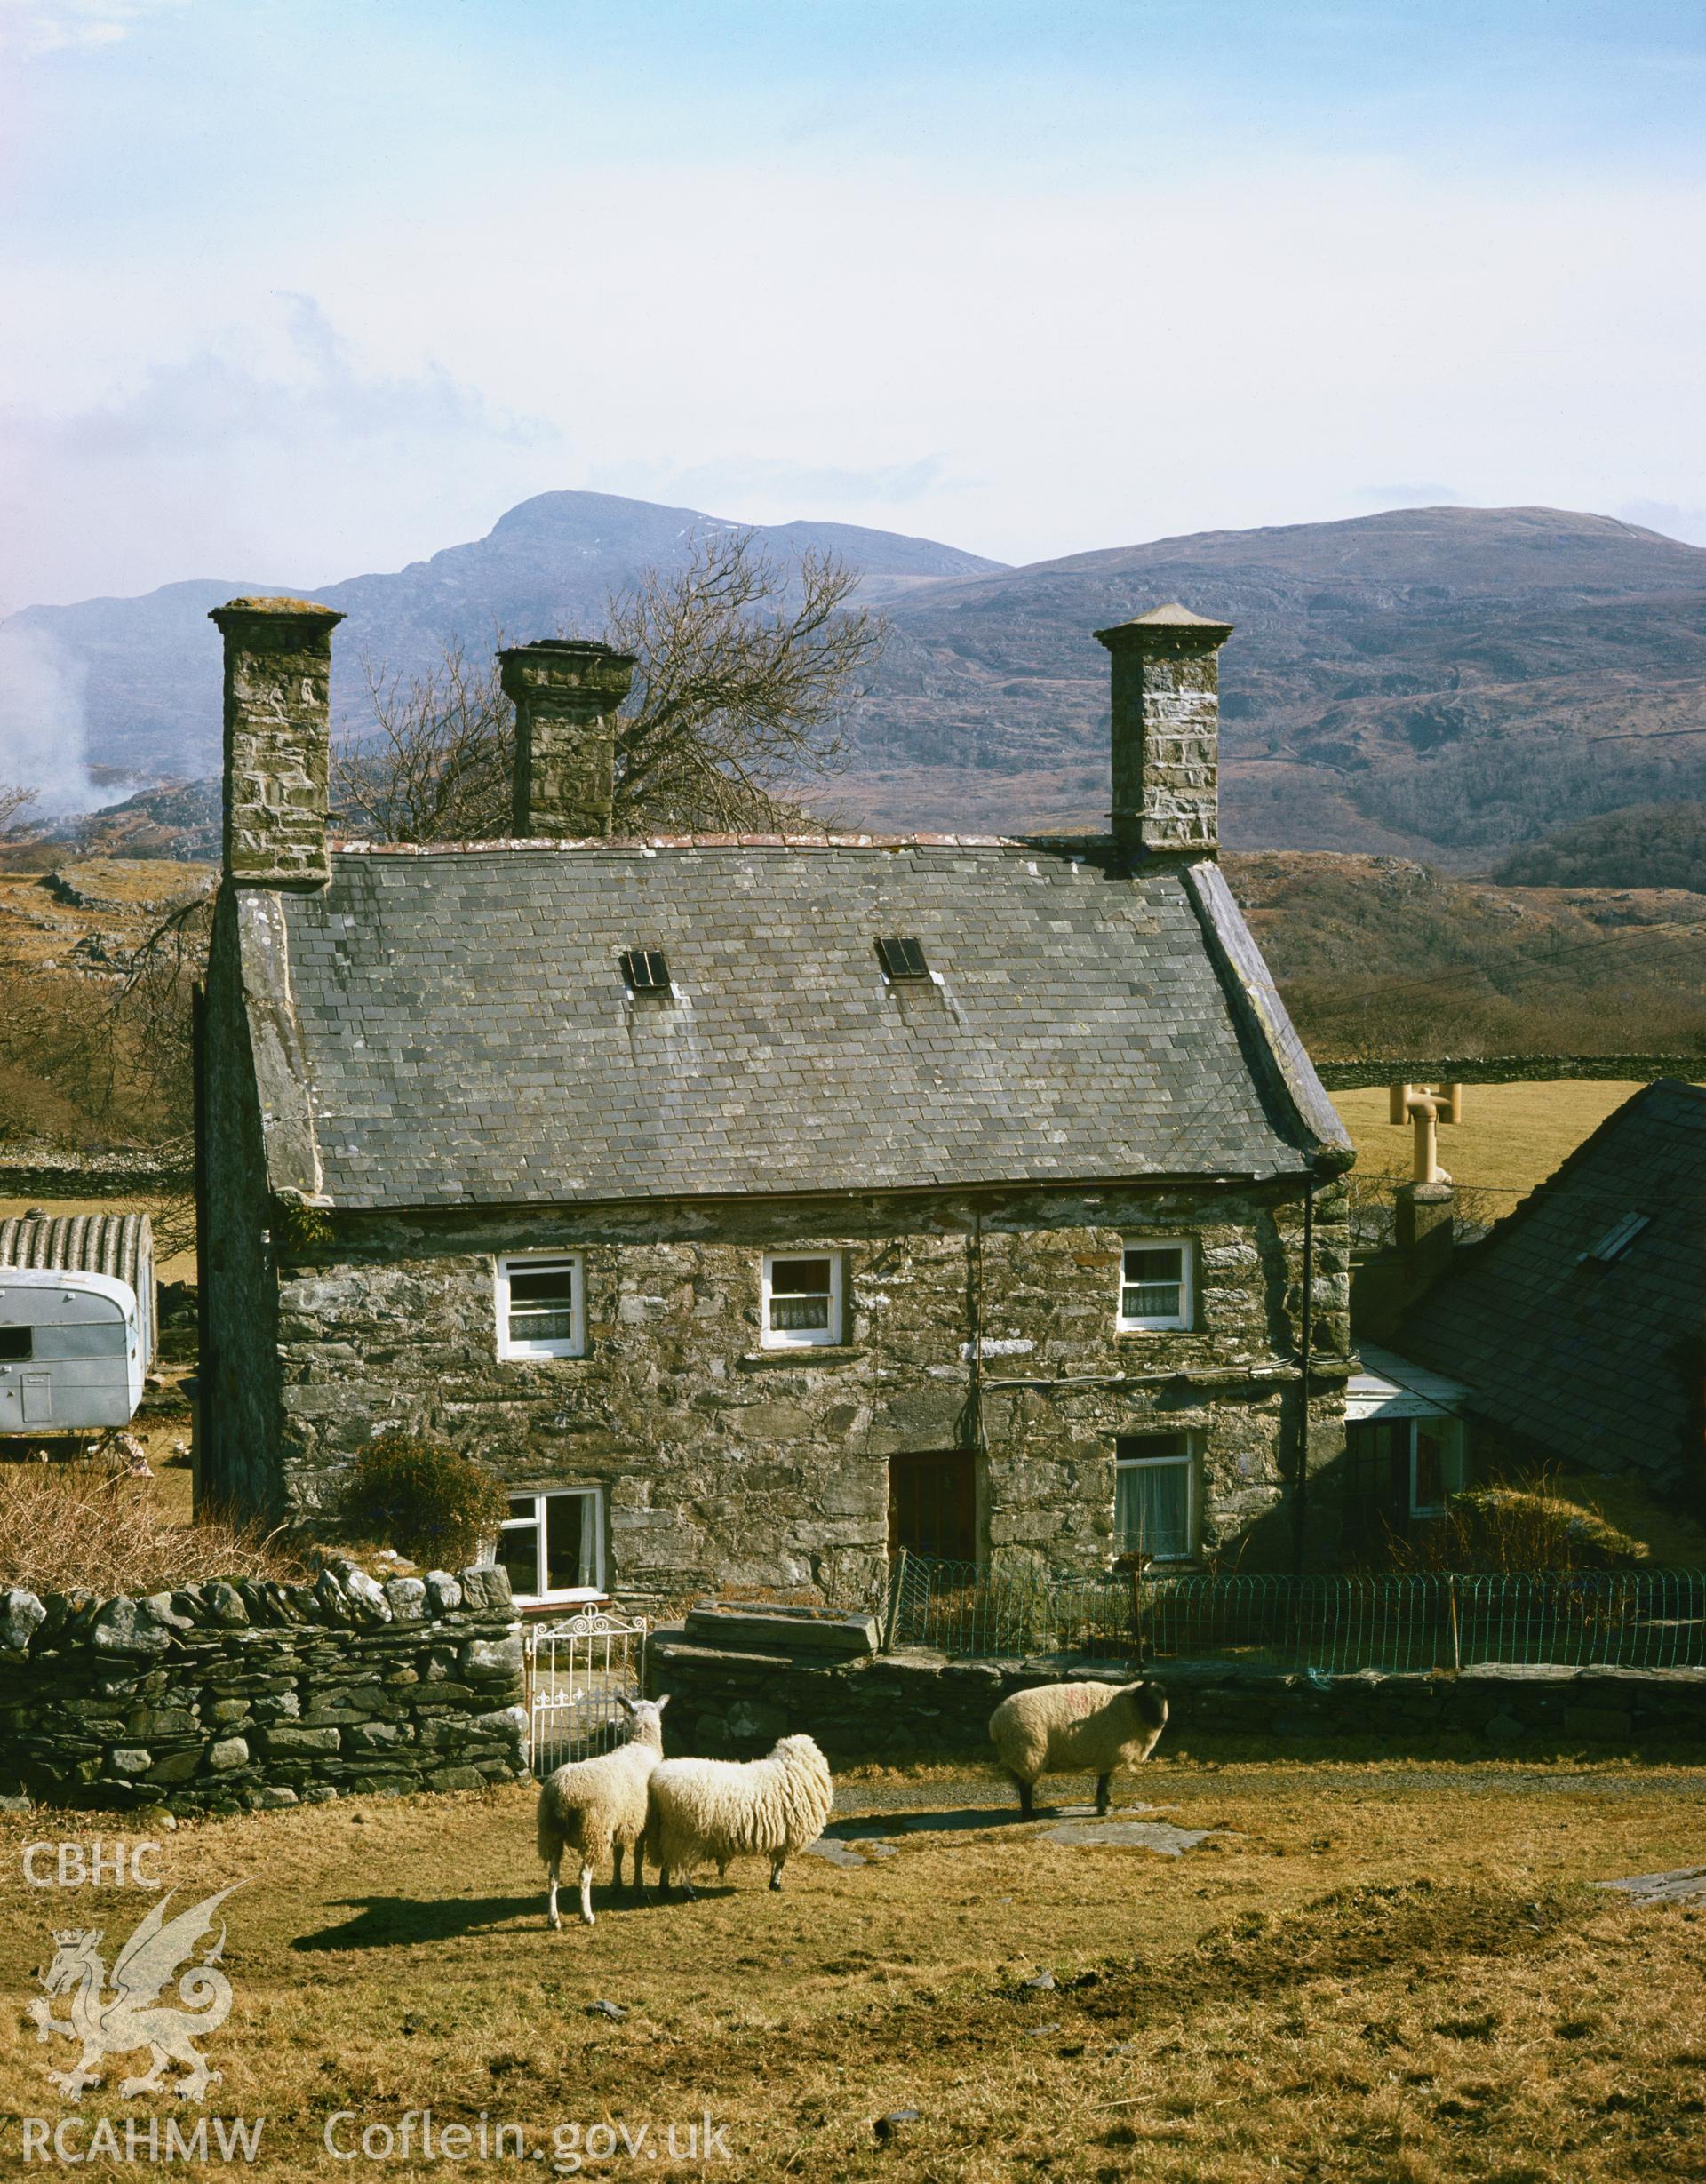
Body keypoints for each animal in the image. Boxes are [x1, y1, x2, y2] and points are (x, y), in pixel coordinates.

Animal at [535, 1686, 668, 1930]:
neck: (643, 1746)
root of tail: (562, 1792)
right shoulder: (642, 1822)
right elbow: (637, 1855)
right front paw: (639, 1886)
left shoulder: (621, 1822)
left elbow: (618, 1853)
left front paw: (617, 1883)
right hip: (593, 1831)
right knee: (583, 1876)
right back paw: (587, 1915)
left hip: (551, 1833)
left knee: (552, 1876)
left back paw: (554, 1919)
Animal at [646, 1720, 830, 1895]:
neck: (790, 1770)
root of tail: (658, 1780)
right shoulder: (788, 1835)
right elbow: (780, 1863)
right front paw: (776, 1885)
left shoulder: (782, 1836)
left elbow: (777, 1862)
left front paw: (773, 1884)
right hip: (684, 1836)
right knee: (682, 1867)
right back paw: (689, 1892)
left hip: (665, 1833)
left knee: (666, 1863)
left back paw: (664, 1889)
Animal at [983, 1677, 1170, 1817]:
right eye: (1145, 1700)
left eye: (1162, 1698)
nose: (1160, 1722)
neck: (1127, 1708)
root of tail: (995, 1722)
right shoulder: (1108, 1753)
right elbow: (1104, 1780)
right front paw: (1102, 1808)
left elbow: (1104, 1780)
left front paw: (1105, 1800)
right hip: (1029, 1752)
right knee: (1024, 1787)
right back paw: (1029, 1815)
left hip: (1018, 1754)